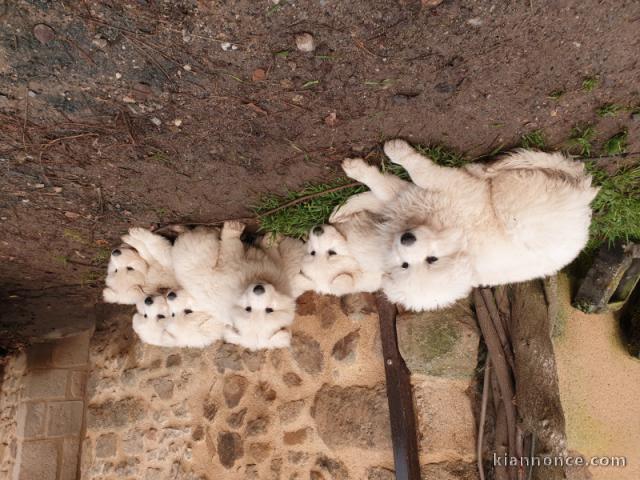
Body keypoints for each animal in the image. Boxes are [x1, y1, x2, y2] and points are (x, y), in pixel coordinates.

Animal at [342, 139, 596, 312]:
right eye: (405, 265)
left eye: (431, 260)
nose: (407, 239)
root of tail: (582, 200)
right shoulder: (409, 201)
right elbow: (386, 188)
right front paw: (358, 178)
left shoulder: (453, 188)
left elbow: (419, 174)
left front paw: (394, 152)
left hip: (517, 208)